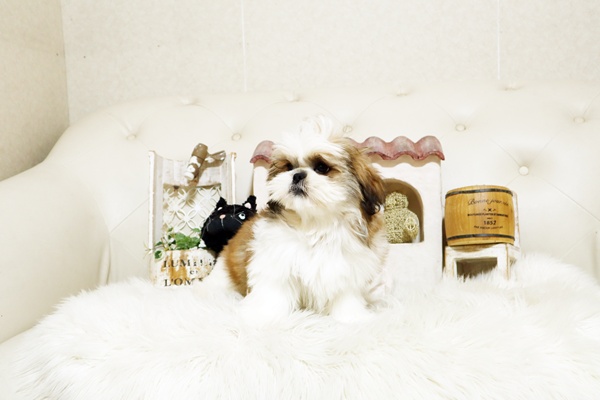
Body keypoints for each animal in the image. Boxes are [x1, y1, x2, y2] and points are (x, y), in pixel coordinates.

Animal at [207, 117, 389, 324]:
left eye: (322, 167)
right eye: (289, 167)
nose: (297, 174)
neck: (313, 224)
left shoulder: (346, 268)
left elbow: (346, 296)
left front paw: (352, 317)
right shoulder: (275, 262)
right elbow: (272, 293)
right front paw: (262, 316)